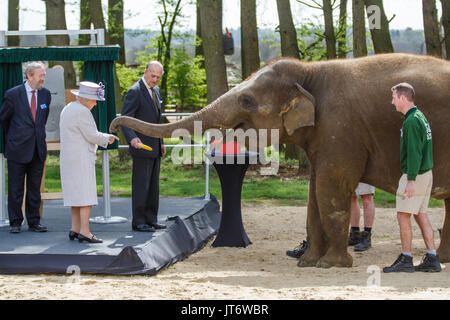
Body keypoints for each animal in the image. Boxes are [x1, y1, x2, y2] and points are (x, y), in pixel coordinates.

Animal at [111, 53, 450, 268]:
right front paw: (308, 263)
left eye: (246, 99)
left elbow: (331, 190)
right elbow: (315, 194)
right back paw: (441, 259)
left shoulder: (341, 128)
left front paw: (330, 265)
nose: (114, 126)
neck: (311, 72)